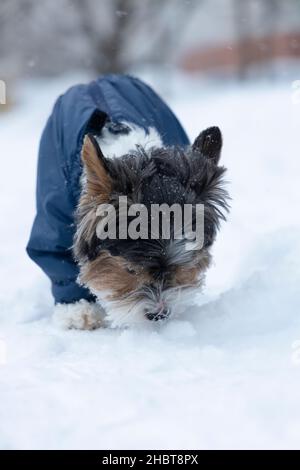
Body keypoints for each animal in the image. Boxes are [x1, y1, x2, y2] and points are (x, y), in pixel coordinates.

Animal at [27, 75, 230, 328]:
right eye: (129, 271)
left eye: (182, 266)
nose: (158, 314)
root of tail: (96, 81)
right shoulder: (56, 215)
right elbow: (56, 256)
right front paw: (78, 311)